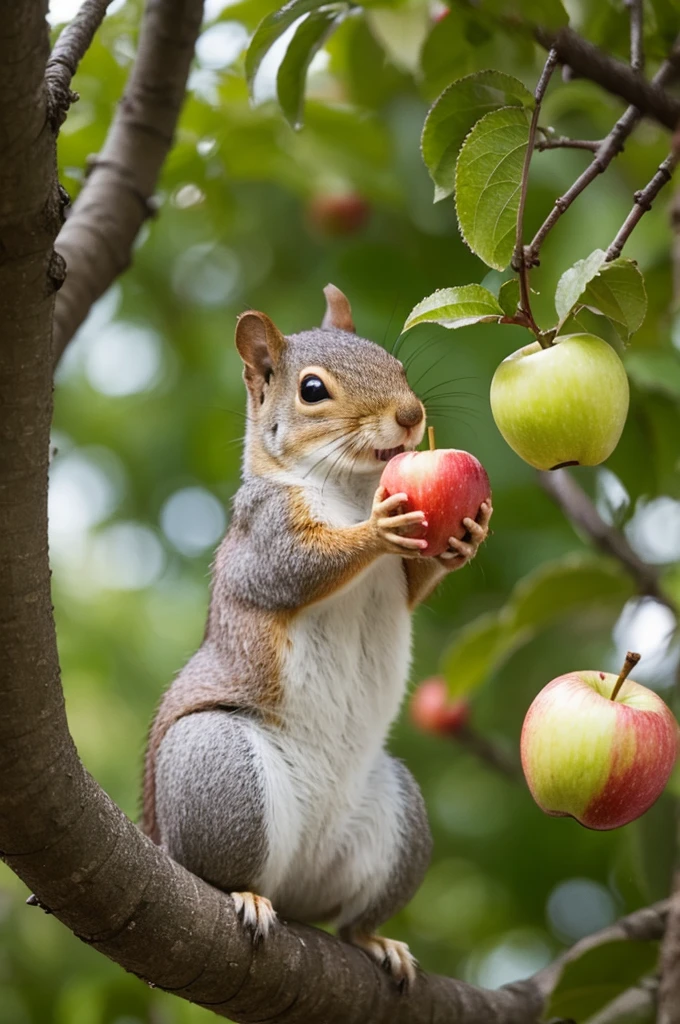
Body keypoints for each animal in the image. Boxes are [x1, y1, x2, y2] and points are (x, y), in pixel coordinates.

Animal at [143, 284, 491, 987]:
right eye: (311, 390)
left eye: (396, 361)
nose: (412, 415)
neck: (353, 489)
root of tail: (295, 883)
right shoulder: (265, 534)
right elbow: (299, 568)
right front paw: (377, 531)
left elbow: (415, 584)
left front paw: (468, 536)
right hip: (216, 769)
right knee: (224, 872)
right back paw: (246, 895)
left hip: (397, 817)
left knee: (350, 918)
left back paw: (377, 941)